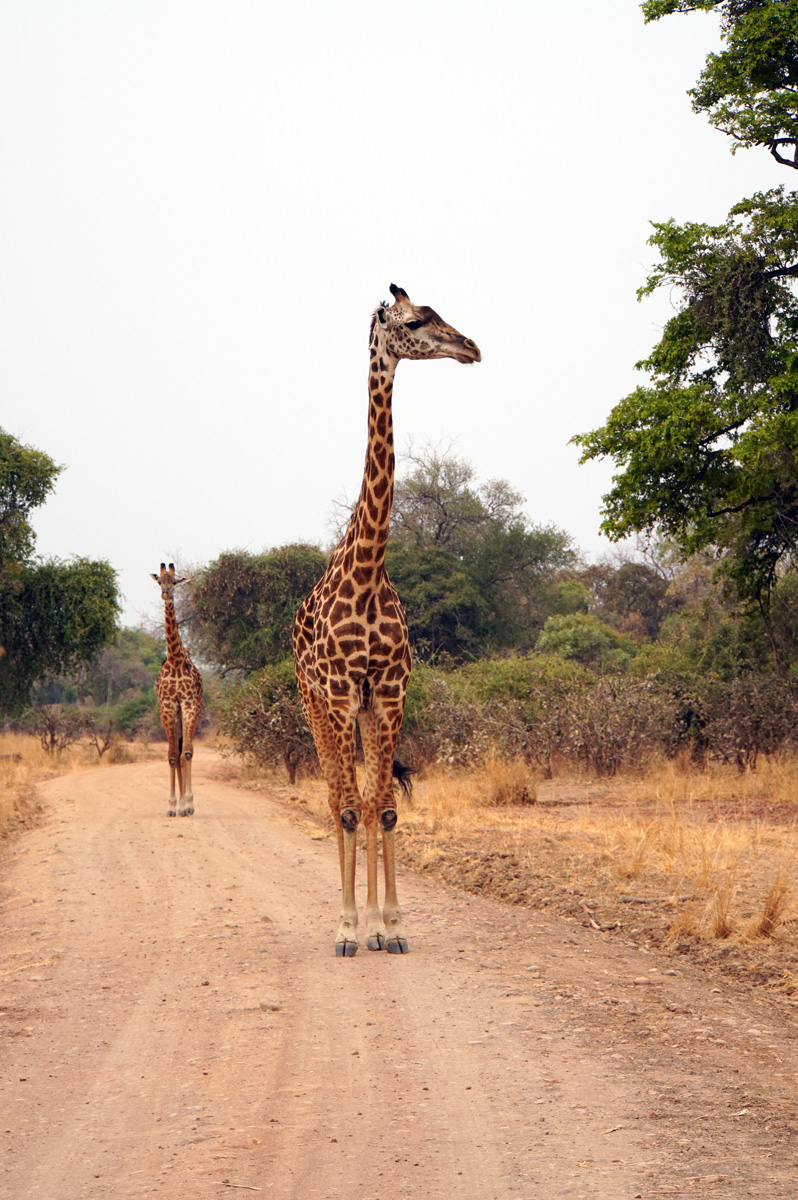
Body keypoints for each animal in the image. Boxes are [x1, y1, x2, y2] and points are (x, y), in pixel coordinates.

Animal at [293, 284, 481, 956]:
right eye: (417, 321)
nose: (471, 346)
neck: (370, 569)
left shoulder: (391, 690)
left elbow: (385, 808)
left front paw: (390, 927)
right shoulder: (341, 691)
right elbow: (352, 807)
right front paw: (351, 929)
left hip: (366, 707)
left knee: (368, 801)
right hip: (314, 703)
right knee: (335, 801)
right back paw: (347, 923)